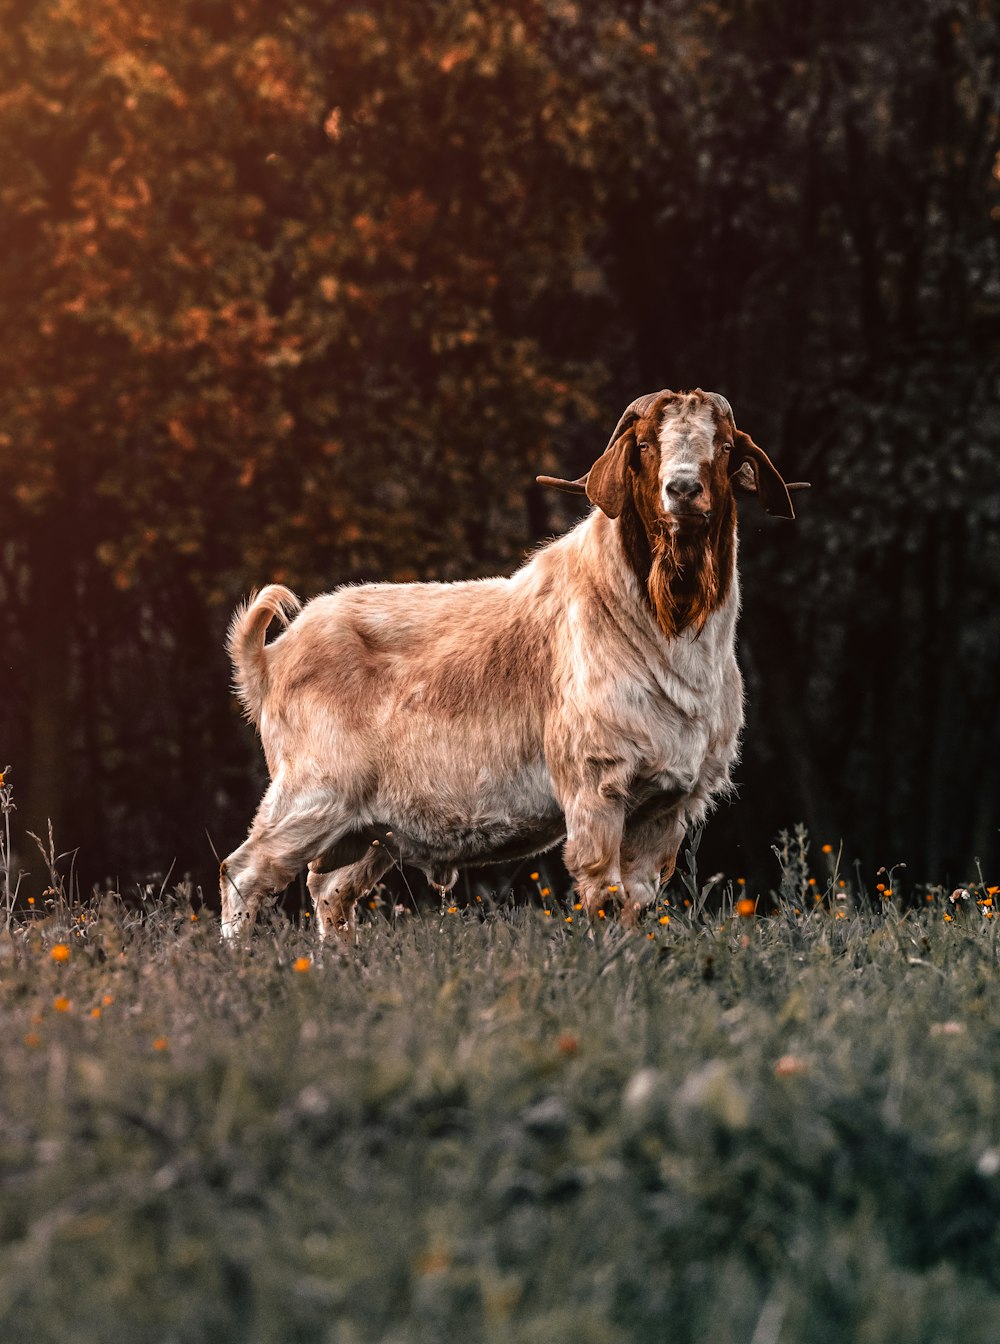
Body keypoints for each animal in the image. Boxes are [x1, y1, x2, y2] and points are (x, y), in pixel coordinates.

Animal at [219, 389, 806, 935]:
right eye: (643, 445)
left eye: (725, 447)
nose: (682, 490)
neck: (665, 633)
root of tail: (267, 661)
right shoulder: (594, 786)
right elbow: (603, 894)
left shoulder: (665, 807)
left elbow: (638, 901)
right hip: (311, 793)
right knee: (245, 873)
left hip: (365, 829)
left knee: (330, 893)